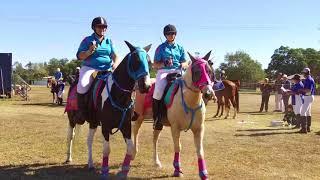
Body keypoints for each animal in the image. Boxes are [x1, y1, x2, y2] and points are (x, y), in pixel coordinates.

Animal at [64, 40, 152, 179]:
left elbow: (130, 148)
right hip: (72, 120)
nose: (146, 86)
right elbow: (106, 149)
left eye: (149, 61)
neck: (118, 95)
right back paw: (68, 158)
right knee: (70, 137)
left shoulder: (126, 126)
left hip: (93, 122)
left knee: (89, 141)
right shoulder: (105, 127)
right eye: (136, 60)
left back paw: (90, 164)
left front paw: (124, 171)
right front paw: (105, 171)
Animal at [131, 51, 216, 180]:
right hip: (139, 116)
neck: (189, 101)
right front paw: (177, 170)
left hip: (158, 123)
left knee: (154, 139)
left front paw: (203, 173)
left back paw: (156, 162)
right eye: (197, 72)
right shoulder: (175, 128)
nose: (209, 93)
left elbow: (200, 150)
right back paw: (133, 153)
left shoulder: (199, 129)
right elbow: (178, 147)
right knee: (135, 131)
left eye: (210, 71)